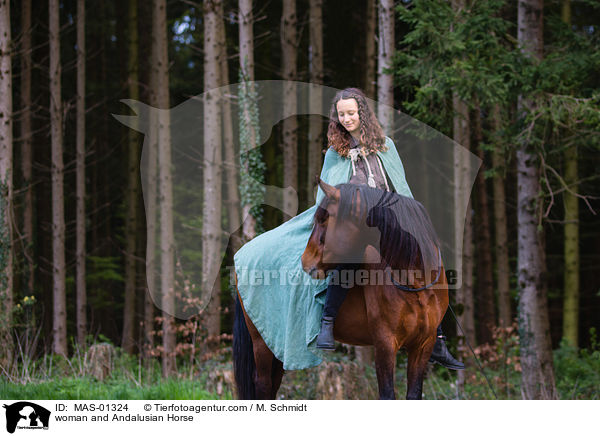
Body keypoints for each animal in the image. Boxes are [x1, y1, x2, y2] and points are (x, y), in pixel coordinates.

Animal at [232, 177, 448, 398]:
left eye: (324, 220)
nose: (305, 262)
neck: (415, 281)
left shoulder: (423, 344)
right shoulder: (385, 344)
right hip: (260, 341)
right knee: (263, 384)